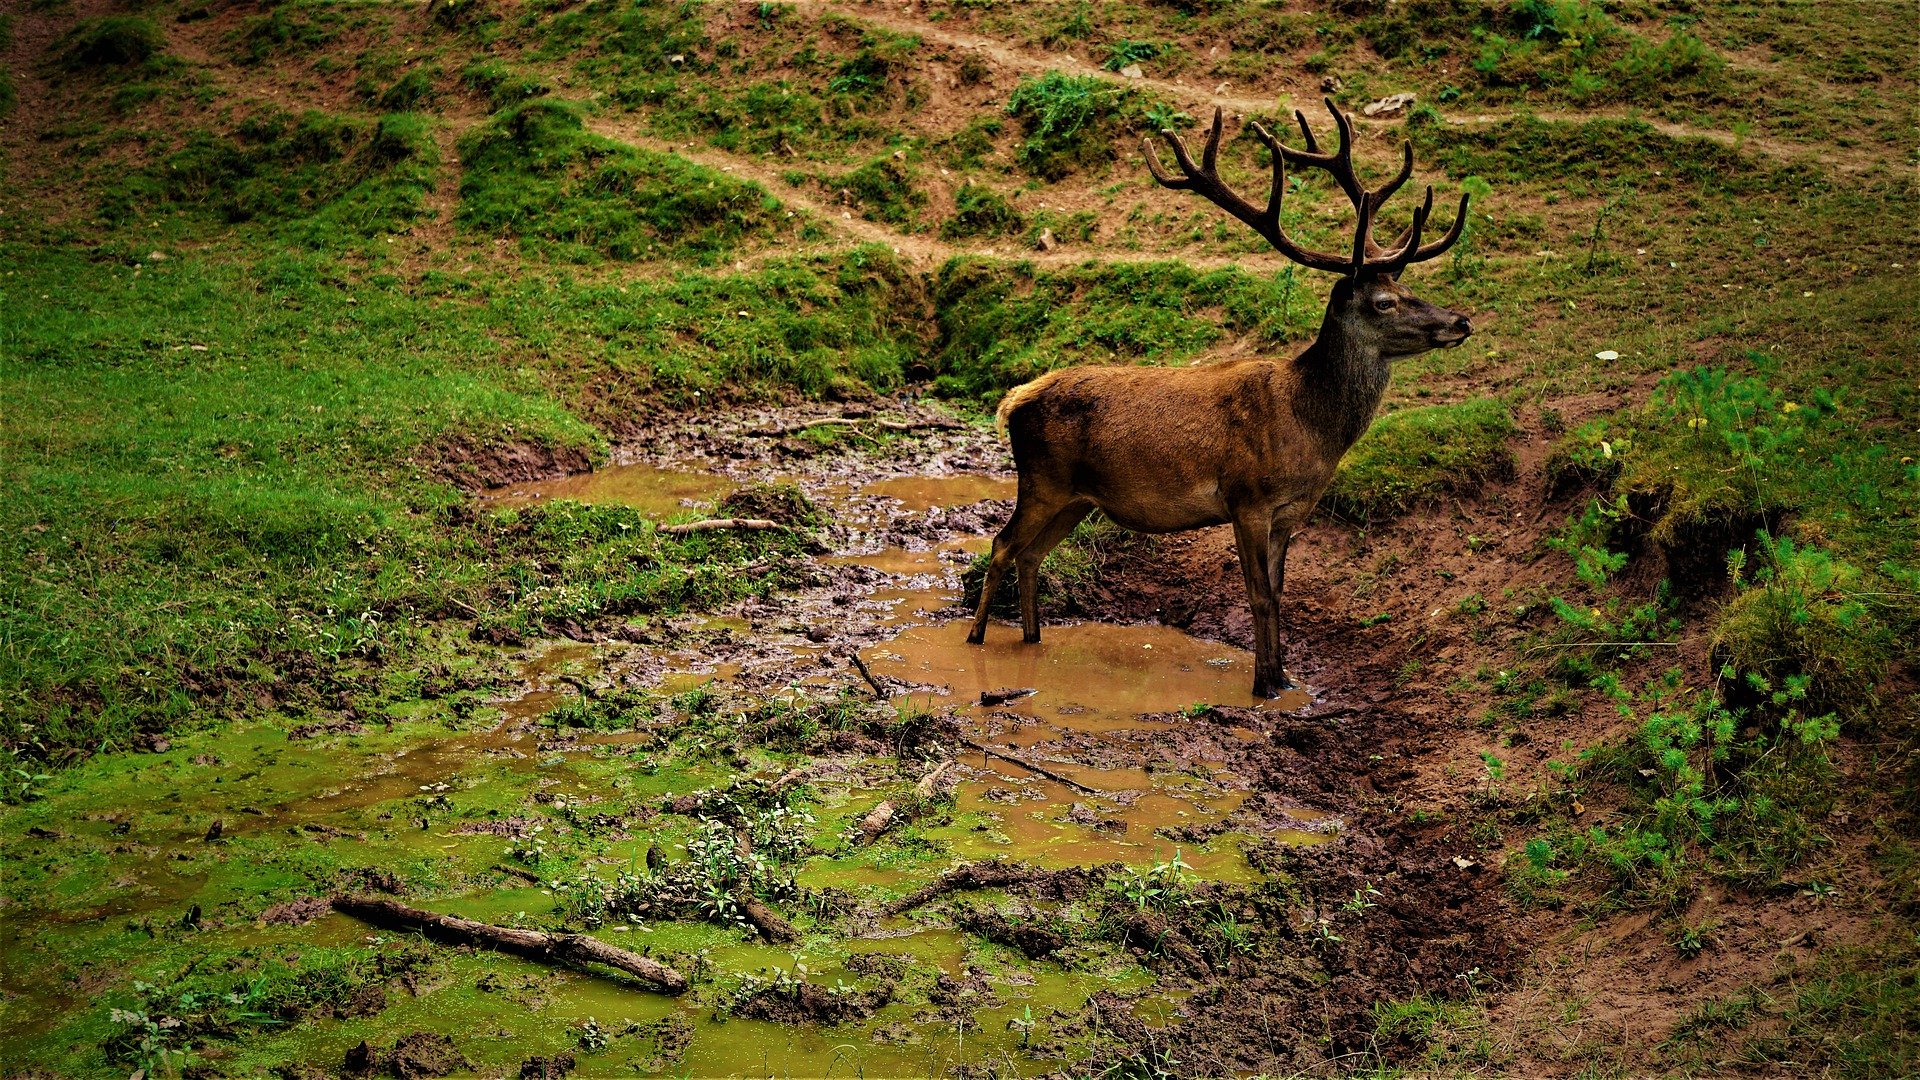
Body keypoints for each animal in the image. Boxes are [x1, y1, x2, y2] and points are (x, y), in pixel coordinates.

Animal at [967, 96, 1474, 691]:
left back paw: (1032, 638)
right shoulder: (1246, 498)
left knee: (1030, 555)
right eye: (1383, 302)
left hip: (1076, 498)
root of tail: (1012, 400)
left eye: (1406, 286)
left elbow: (1278, 593)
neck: (1308, 426)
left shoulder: (1291, 511)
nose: (1461, 321)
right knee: (1002, 545)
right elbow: (1257, 595)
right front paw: (1263, 684)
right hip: (1040, 480)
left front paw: (1284, 679)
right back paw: (976, 639)